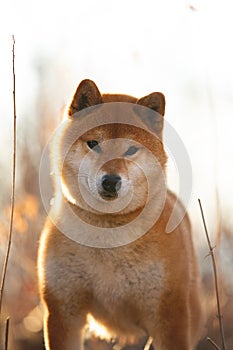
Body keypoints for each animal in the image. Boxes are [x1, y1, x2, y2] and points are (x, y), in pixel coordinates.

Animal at [37, 80, 203, 350]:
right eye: (94, 143)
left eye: (131, 149)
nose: (111, 181)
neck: (109, 238)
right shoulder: (64, 310)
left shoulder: (169, 316)